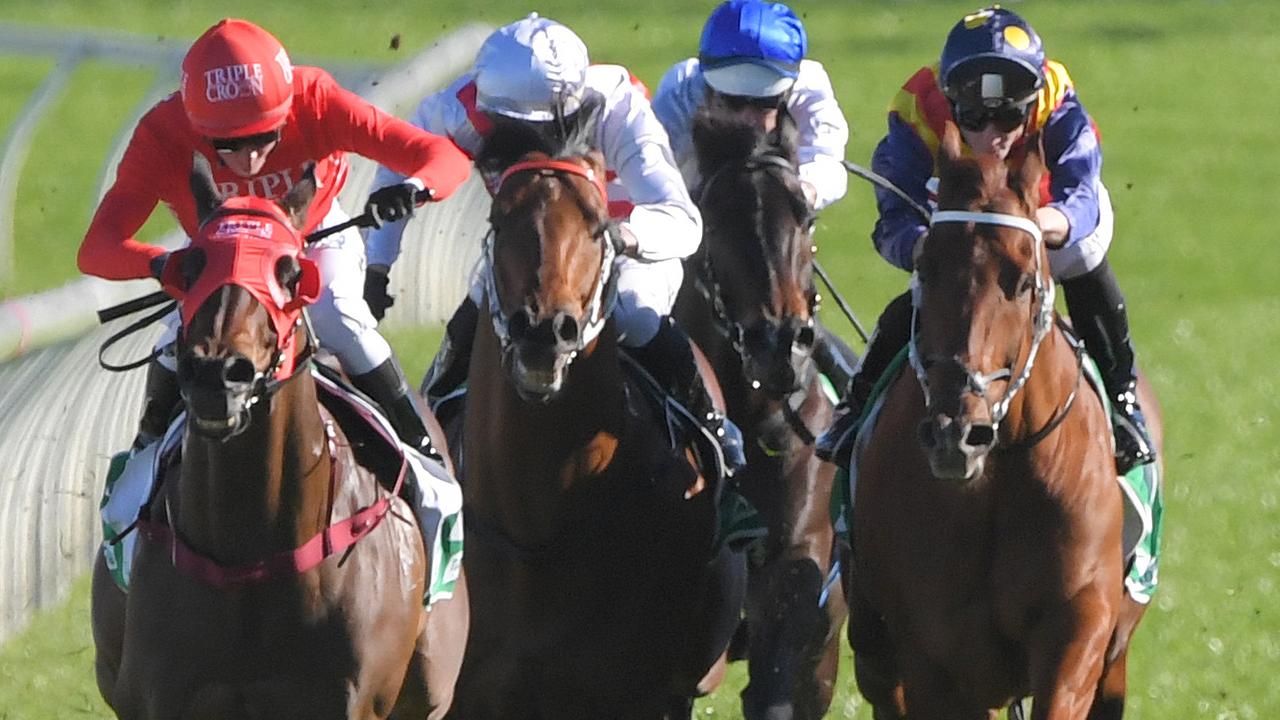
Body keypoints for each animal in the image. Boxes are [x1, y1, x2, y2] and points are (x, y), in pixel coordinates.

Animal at [91, 158, 471, 717]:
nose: (218, 374)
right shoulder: (162, 695)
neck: (248, 548)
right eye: (191, 268)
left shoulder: (347, 701)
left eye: (289, 271)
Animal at [844, 124, 1167, 717]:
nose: (956, 433)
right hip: (876, 652)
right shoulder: (935, 654)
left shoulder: (1078, 629)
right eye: (926, 268)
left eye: (1020, 279)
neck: (995, 482)